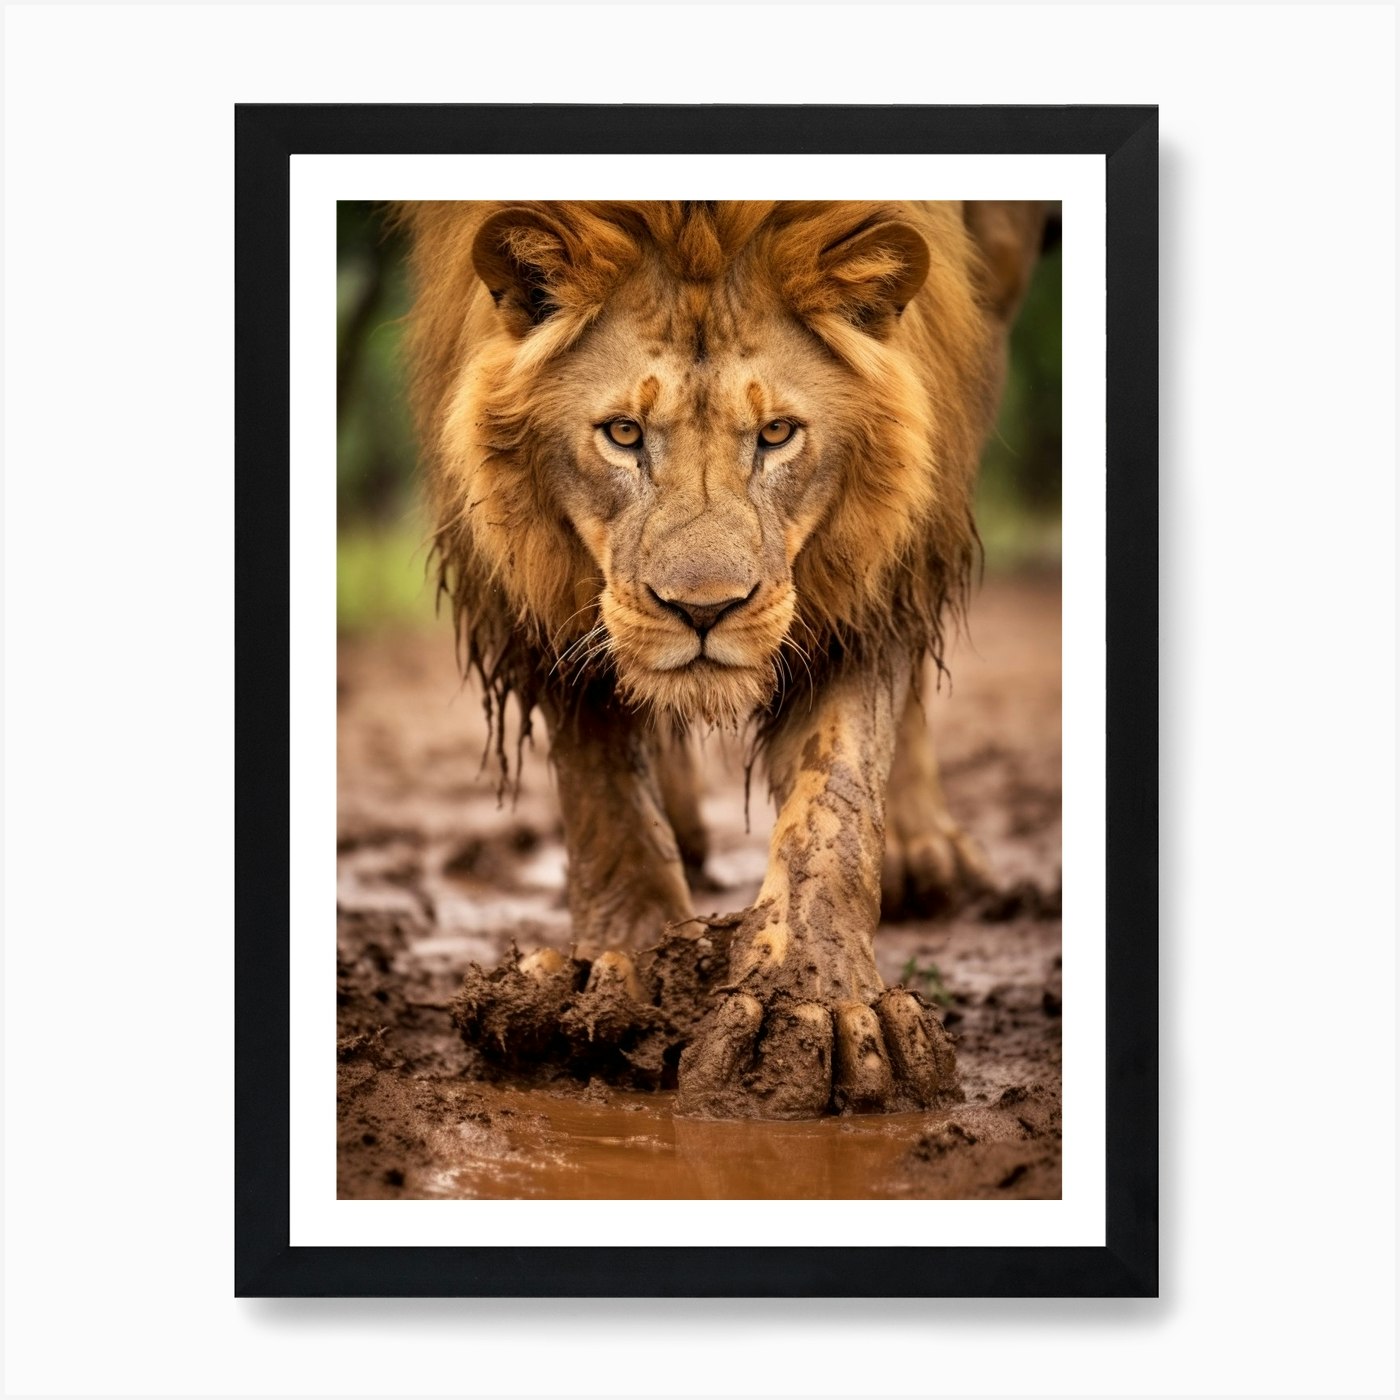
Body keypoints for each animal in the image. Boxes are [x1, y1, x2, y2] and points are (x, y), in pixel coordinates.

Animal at [395, 200, 1048, 1117]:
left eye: (776, 433)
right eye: (623, 433)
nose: (704, 610)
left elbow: (837, 783)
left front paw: (820, 1012)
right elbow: (598, 774)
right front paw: (617, 973)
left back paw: (926, 854)